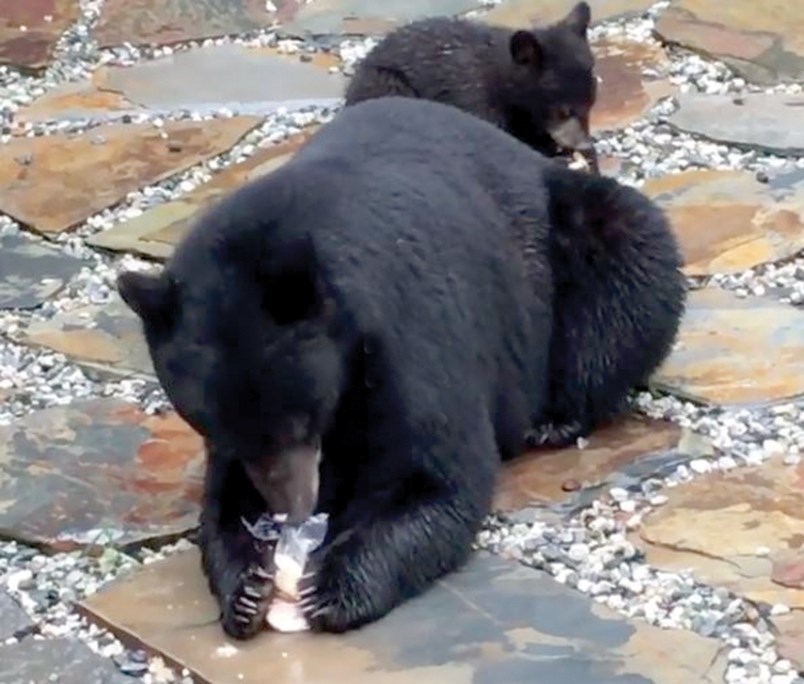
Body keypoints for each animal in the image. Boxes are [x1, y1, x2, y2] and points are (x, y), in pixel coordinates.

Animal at [118, 95, 684, 636]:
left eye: (299, 420)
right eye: (209, 425)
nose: (293, 509)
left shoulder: (408, 335)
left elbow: (439, 474)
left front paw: (331, 585)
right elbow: (221, 496)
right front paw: (247, 587)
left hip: (576, 237)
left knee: (630, 270)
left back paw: (555, 419)